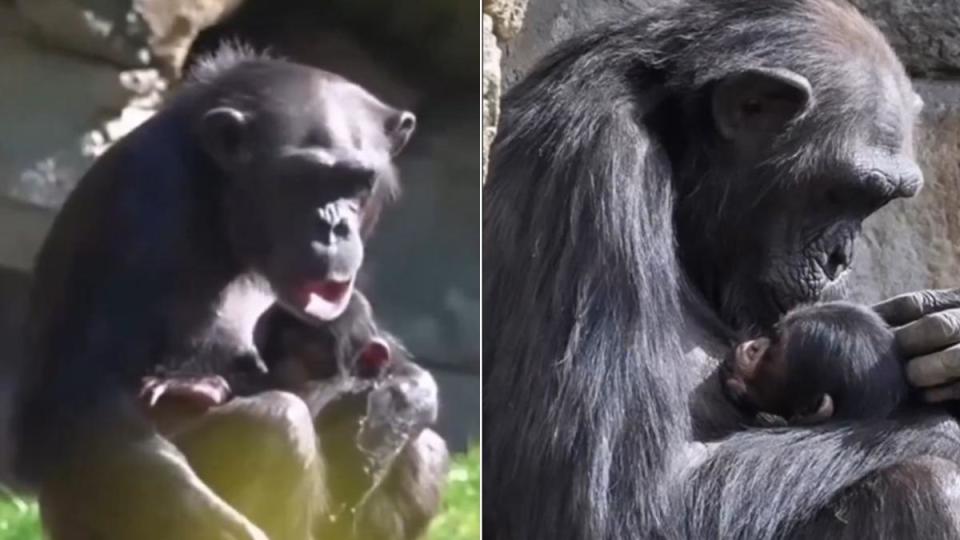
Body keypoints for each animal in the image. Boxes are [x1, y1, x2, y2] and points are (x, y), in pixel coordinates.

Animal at [10, 44, 420, 536]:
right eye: (305, 179)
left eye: (357, 183)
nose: (335, 226)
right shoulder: (142, 197)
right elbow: (95, 400)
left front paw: (401, 404)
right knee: (276, 421)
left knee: (428, 450)